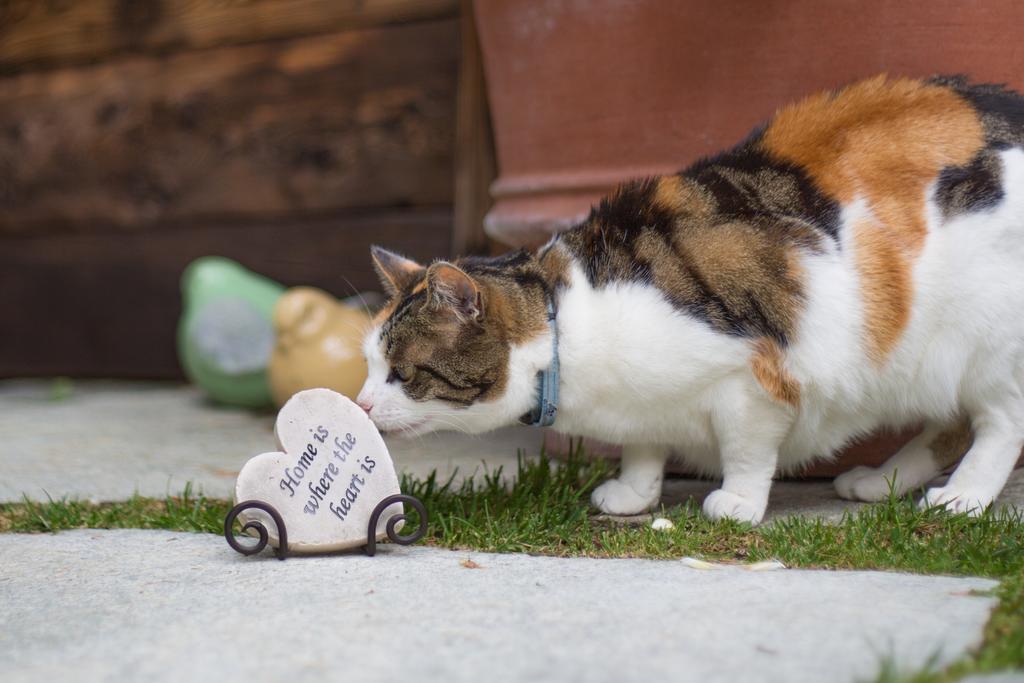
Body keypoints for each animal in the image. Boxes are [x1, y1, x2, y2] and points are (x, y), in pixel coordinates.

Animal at [356, 74, 1024, 524]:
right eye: (368, 365)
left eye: (403, 374)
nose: (359, 403)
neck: (570, 324)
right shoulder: (642, 403)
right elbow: (643, 445)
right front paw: (633, 493)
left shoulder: (754, 384)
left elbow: (748, 450)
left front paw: (738, 502)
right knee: (948, 424)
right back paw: (882, 481)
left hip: (988, 343)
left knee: (1000, 425)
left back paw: (961, 498)